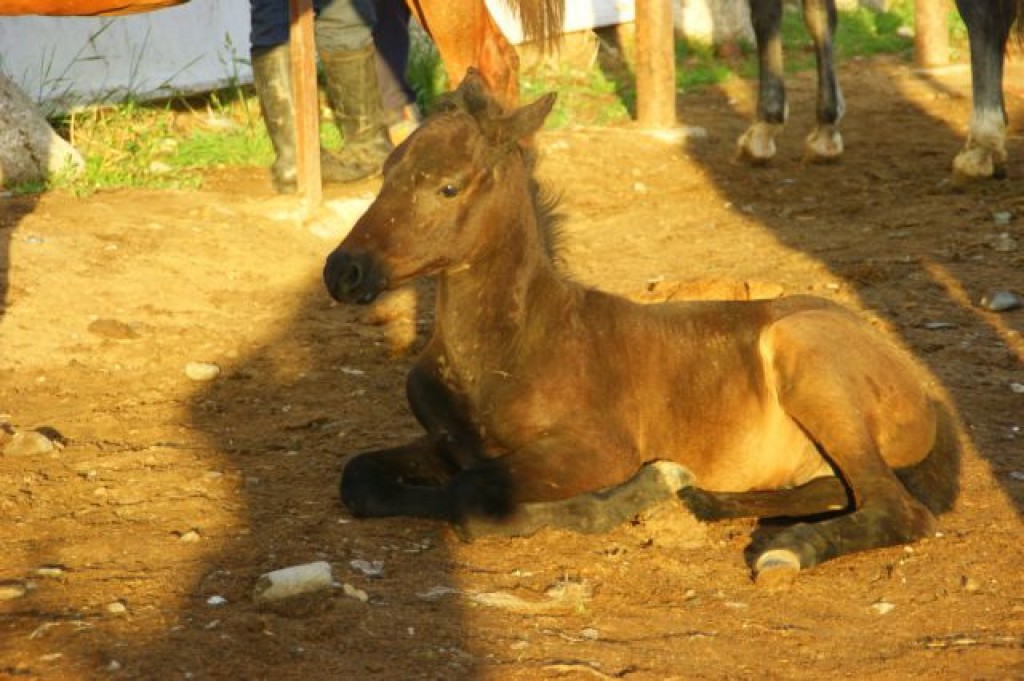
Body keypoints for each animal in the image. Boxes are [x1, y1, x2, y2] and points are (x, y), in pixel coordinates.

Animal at [322, 70, 959, 587]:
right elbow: (361, 477)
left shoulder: (595, 449)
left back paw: (785, 549)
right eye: (386, 173)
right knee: (838, 489)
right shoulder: (448, 443)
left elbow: (471, 499)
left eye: (448, 186)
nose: (342, 271)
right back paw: (709, 502)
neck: (509, 347)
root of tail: (920, 391)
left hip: (808, 357)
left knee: (897, 507)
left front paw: (637, 491)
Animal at [737, 0, 1022, 179]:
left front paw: (764, 129)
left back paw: (980, 146)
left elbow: (765, 17)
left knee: (983, 17)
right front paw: (827, 129)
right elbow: (820, 16)